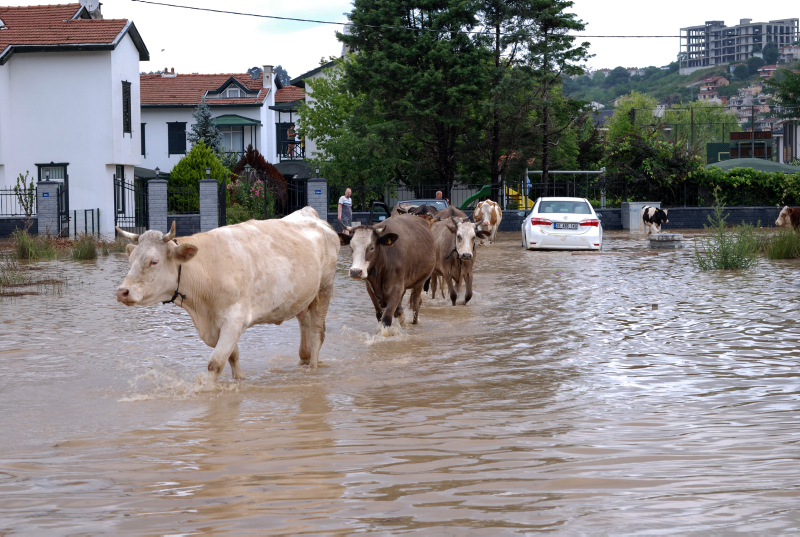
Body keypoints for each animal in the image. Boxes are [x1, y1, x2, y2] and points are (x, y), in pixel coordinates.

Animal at [114, 207, 340, 384]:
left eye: (154, 261)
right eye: (131, 259)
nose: (122, 292)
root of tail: (311, 214)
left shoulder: (234, 320)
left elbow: (216, 363)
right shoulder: (216, 326)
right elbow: (233, 357)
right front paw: (239, 380)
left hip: (324, 289)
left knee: (317, 332)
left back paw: (312, 369)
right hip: (304, 296)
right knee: (305, 325)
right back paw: (303, 360)